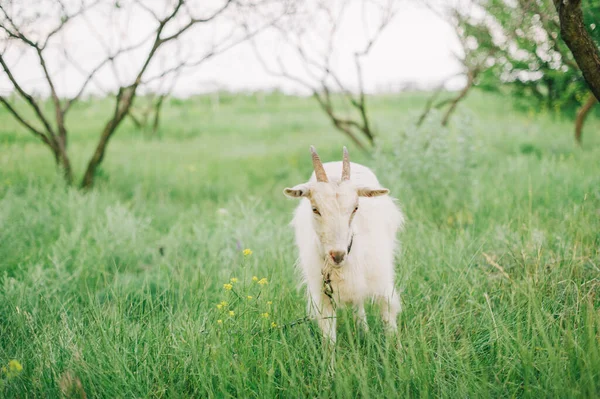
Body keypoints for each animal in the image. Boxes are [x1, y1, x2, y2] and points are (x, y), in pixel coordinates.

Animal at [284, 147, 406, 344]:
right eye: (315, 209)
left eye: (355, 207)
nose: (338, 255)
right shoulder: (323, 296)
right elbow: (329, 337)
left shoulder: (382, 283)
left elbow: (389, 321)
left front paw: (396, 349)